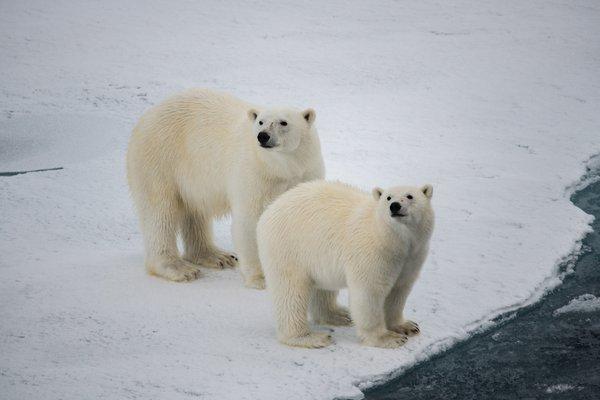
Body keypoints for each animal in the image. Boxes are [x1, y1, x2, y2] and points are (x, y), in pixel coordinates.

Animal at [126, 89, 324, 288]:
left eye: (283, 122)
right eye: (261, 121)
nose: (262, 136)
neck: (282, 167)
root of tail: (146, 117)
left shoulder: (306, 172)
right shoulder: (254, 174)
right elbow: (249, 221)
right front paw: (259, 279)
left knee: (194, 211)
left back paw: (217, 256)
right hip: (160, 159)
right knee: (159, 212)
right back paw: (178, 268)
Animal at [255, 180, 434, 348]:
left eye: (410, 196)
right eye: (388, 198)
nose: (395, 206)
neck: (392, 239)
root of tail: (269, 210)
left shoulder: (412, 257)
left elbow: (399, 290)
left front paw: (407, 326)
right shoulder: (374, 253)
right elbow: (369, 292)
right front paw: (388, 338)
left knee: (322, 288)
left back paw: (339, 315)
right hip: (289, 247)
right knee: (291, 293)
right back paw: (311, 337)